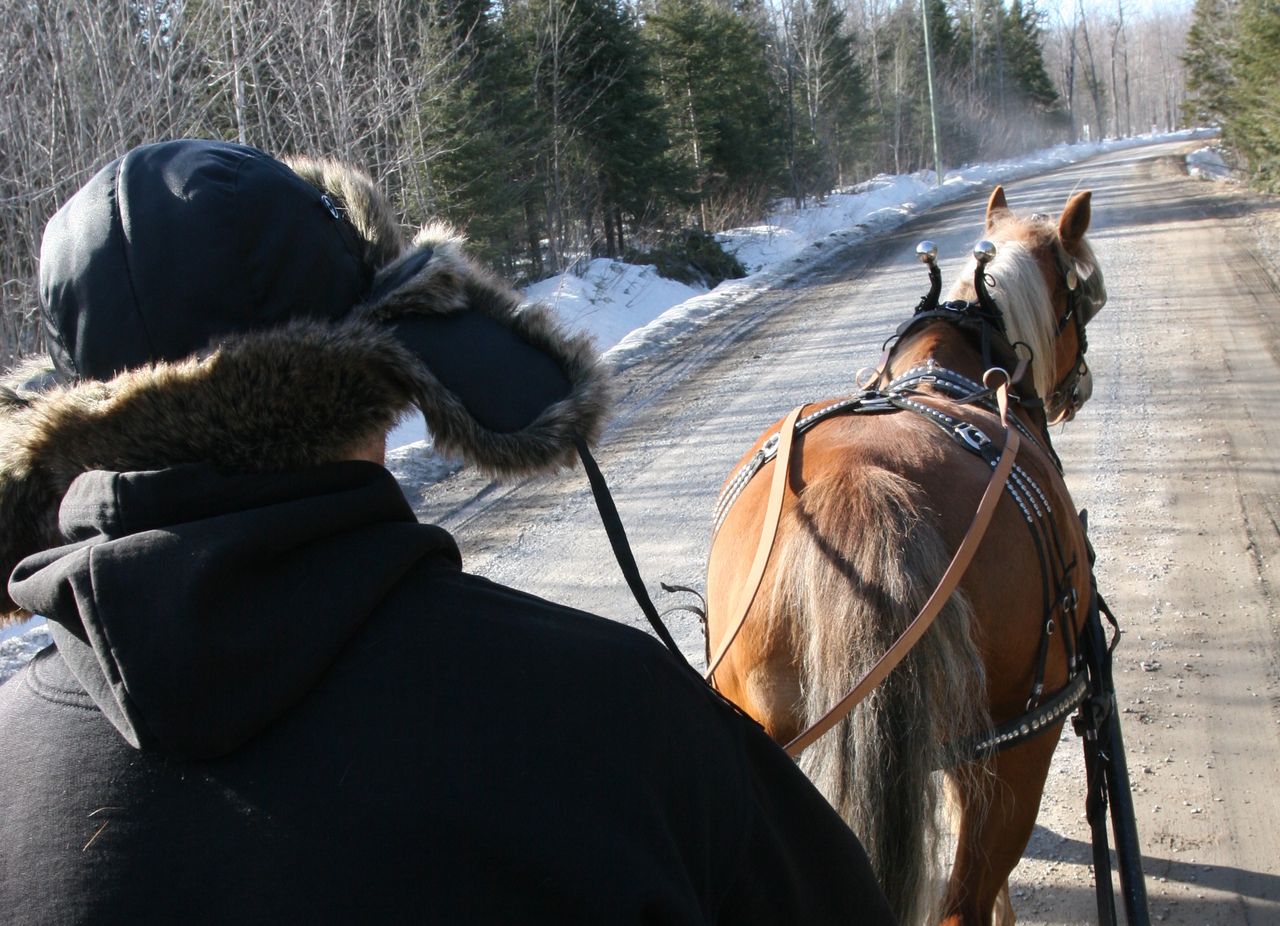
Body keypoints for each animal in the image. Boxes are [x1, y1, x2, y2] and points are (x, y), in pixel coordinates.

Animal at [706, 188, 1105, 926]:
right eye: (1081, 299)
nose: (1079, 387)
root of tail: (859, 480)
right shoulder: (991, 744)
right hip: (1021, 739)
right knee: (963, 902)